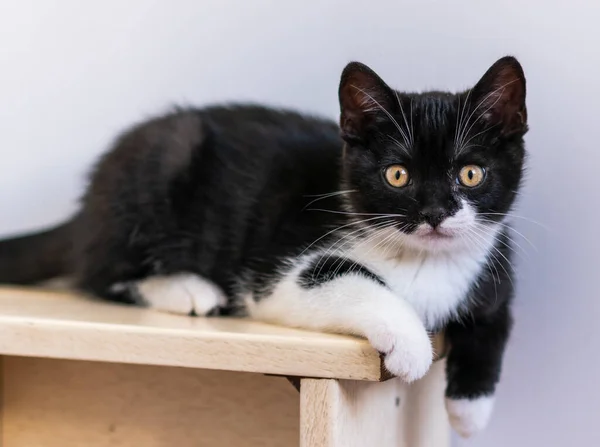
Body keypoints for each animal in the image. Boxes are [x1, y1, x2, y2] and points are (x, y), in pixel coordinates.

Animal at [0, 54, 524, 436]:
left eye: (470, 174)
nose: (436, 213)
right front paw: (413, 344)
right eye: (397, 175)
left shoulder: (493, 265)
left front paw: (469, 412)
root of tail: (86, 207)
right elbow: (351, 278)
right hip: (163, 163)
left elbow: (496, 321)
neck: (424, 261)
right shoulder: (276, 278)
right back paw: (187, 289)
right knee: (98, 271)